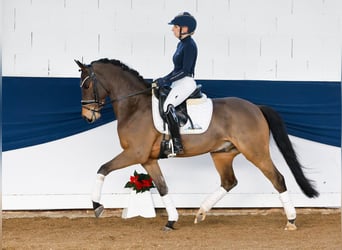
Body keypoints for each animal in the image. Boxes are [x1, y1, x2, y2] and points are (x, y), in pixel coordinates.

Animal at [74, 58, 318, 230]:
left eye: (85, 86)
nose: (88, 117)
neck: (134, 106)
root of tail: (255, 107)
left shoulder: (134, 153)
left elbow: (102, 168)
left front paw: (97, 207)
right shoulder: (148, 159)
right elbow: (162, 187)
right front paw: (171, 221)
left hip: (255, 152)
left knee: (278, 179)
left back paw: (291, 221)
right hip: (222, 154)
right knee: (229, 181)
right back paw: (201, 211)